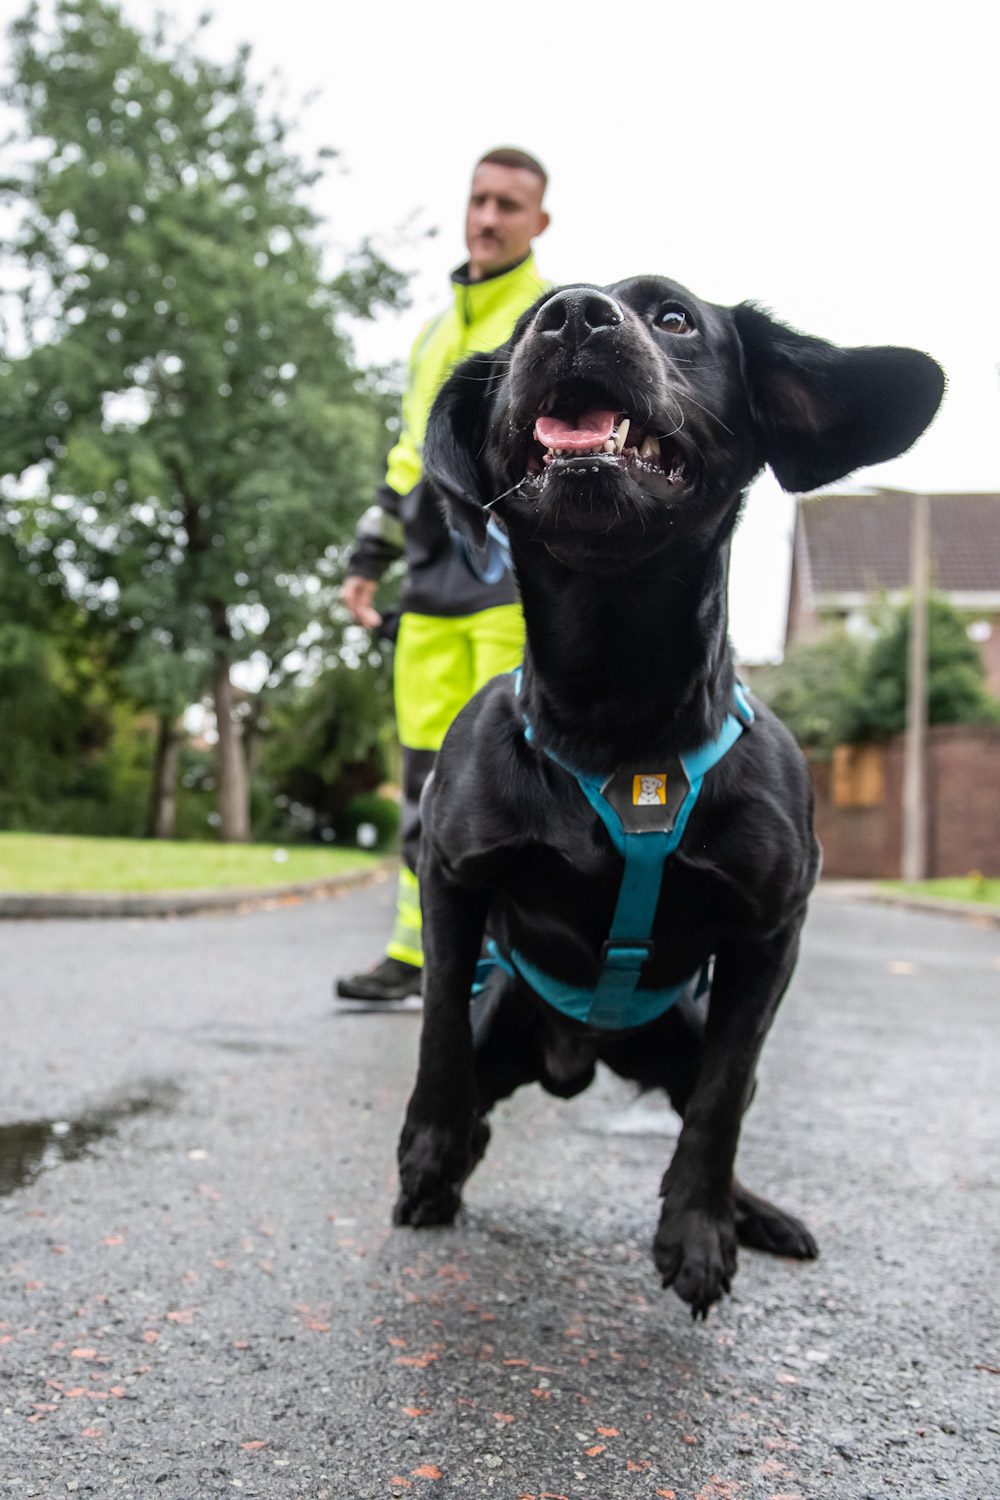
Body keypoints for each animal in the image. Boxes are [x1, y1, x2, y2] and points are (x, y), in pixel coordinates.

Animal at [392, 279, 947, 1314]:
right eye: (523, 328)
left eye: (676, 318)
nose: (574, 314)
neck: (617, 718)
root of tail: (578, 1059)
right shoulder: (450, 875)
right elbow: (439, 1023)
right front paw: (430, 1154)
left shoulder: (773, 933)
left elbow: (724, 1100)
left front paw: (697, 1231)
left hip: (685, 1038)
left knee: (716, 1107)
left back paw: (753, 1214)